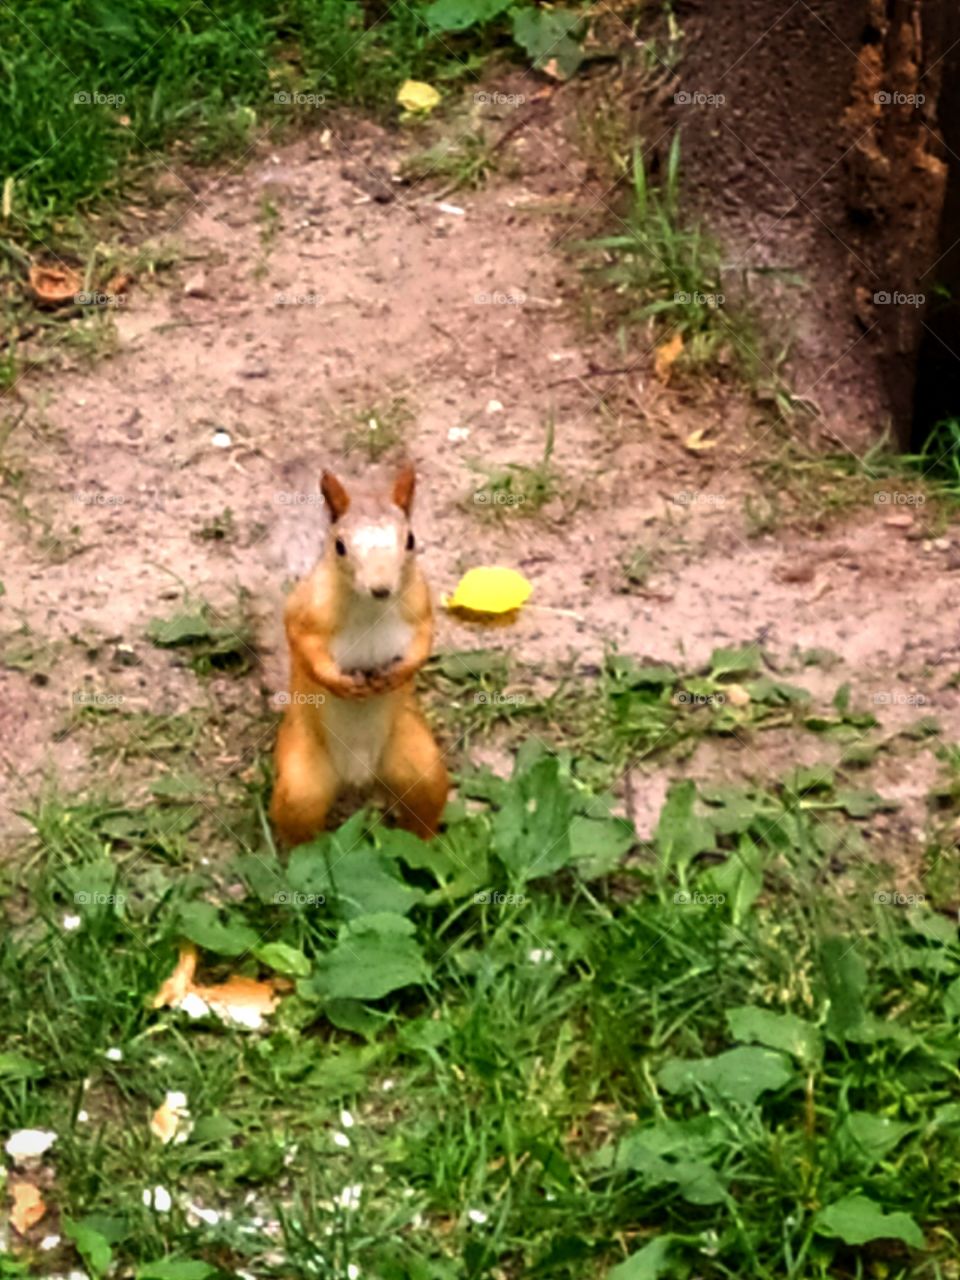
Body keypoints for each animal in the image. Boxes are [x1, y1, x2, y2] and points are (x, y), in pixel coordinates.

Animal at [270, 462, 449, 845]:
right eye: (339, 546)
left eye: (410, 540)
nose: (381, 589)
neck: (370, 608)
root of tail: (359, 777)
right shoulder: (306, 610)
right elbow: (303, 645)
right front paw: (340, 684)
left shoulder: (420, 606)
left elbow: (425, 640)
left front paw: (399, 673)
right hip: (302, 778)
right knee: (300, 827)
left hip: (416, 762)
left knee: (424, 804)